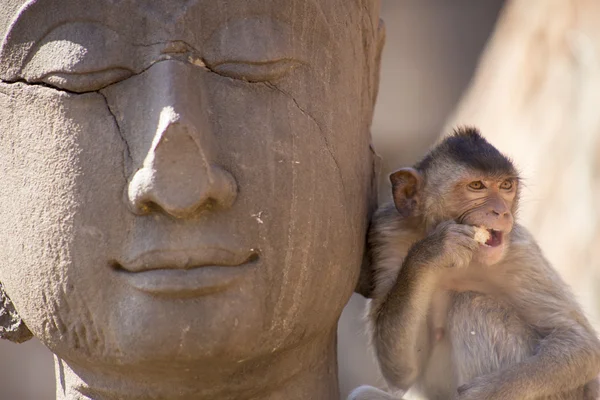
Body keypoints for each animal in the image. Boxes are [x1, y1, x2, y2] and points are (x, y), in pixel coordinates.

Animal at [350, 129, 600, 400]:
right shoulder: (387, 232)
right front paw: (434, 250)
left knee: (473, 305)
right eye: (477, 186)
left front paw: (488, 392)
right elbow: (402, 370)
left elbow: (579, 343)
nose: (502, 212)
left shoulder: (520, 254)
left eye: (506, 185)